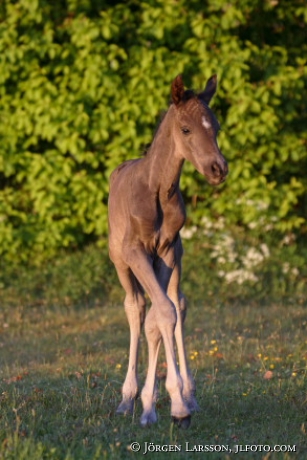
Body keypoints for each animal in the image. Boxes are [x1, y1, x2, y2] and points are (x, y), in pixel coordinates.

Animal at [109, 75, 229, 428]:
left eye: (216, 126)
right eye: (186, 129)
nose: (218, 168)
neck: (157, 190)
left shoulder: (165, 252)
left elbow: (164, 315)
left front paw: (171, 400)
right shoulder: (136, 252)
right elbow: (156, 313)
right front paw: (167, 405)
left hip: (177, 260)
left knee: (177, 302)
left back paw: (185, 394)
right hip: (119, 260)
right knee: (134, 306)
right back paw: (127, 398)